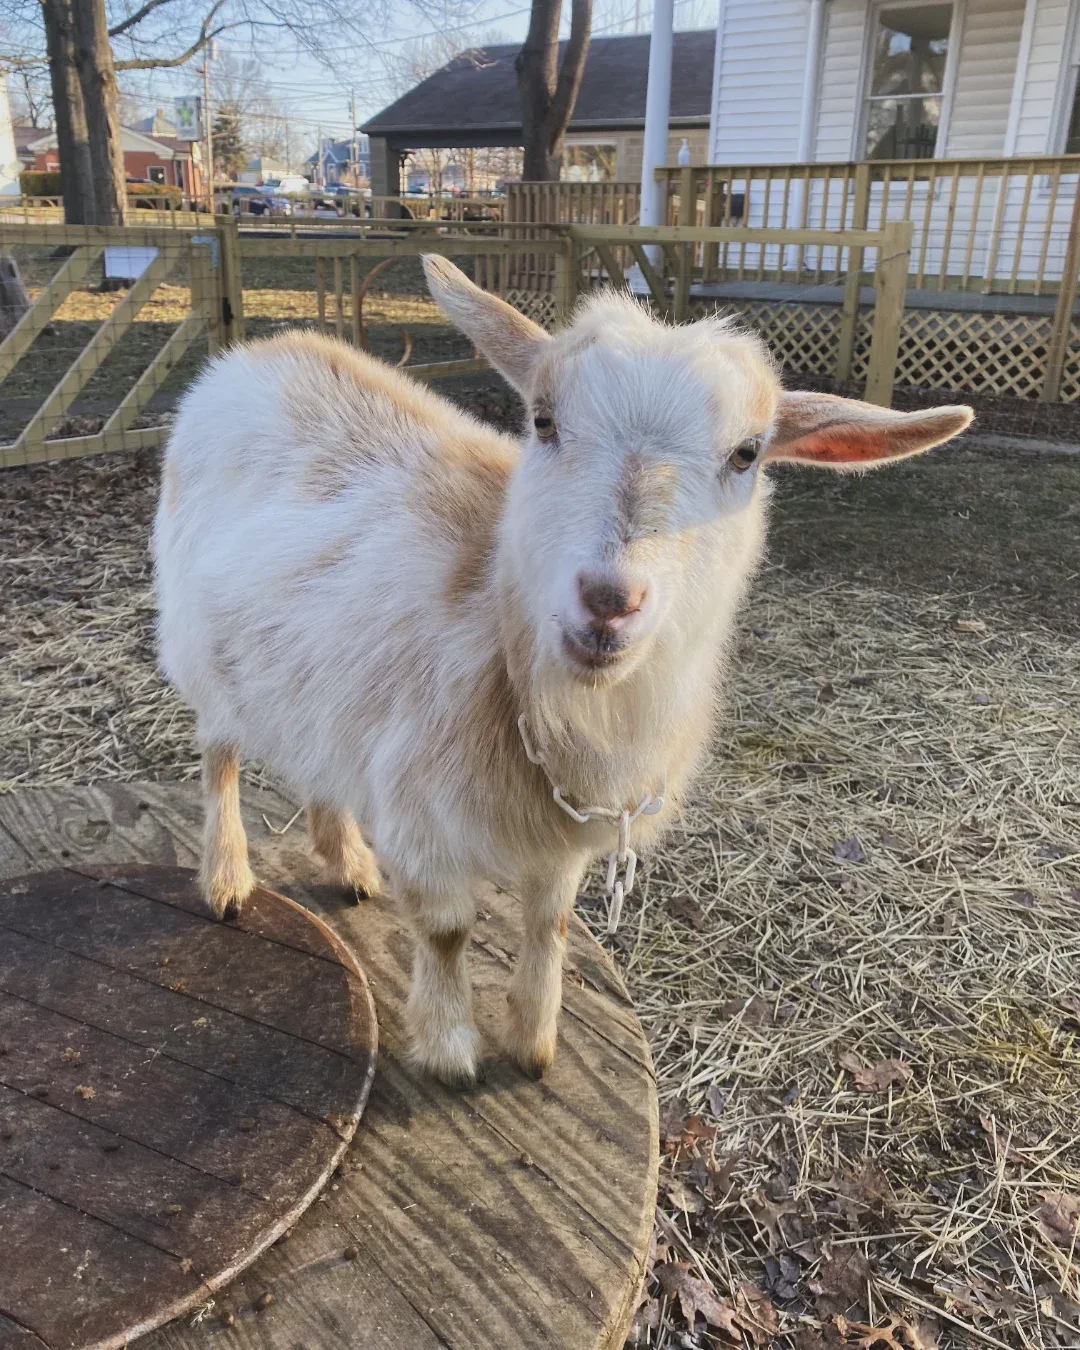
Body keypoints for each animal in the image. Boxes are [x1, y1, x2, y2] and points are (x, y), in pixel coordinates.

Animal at [153, 255, 972, 1087]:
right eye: (543, 420)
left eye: (747, 453)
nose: (610, 599)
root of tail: (257, 351)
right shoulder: (424, 813)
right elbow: (447, 930)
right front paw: (451, 1052)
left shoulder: (562, 831)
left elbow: (550, 922)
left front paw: (535, 1041)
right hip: (199, 638)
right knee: (220, 757)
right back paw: (226, 877)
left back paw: (347, 859)